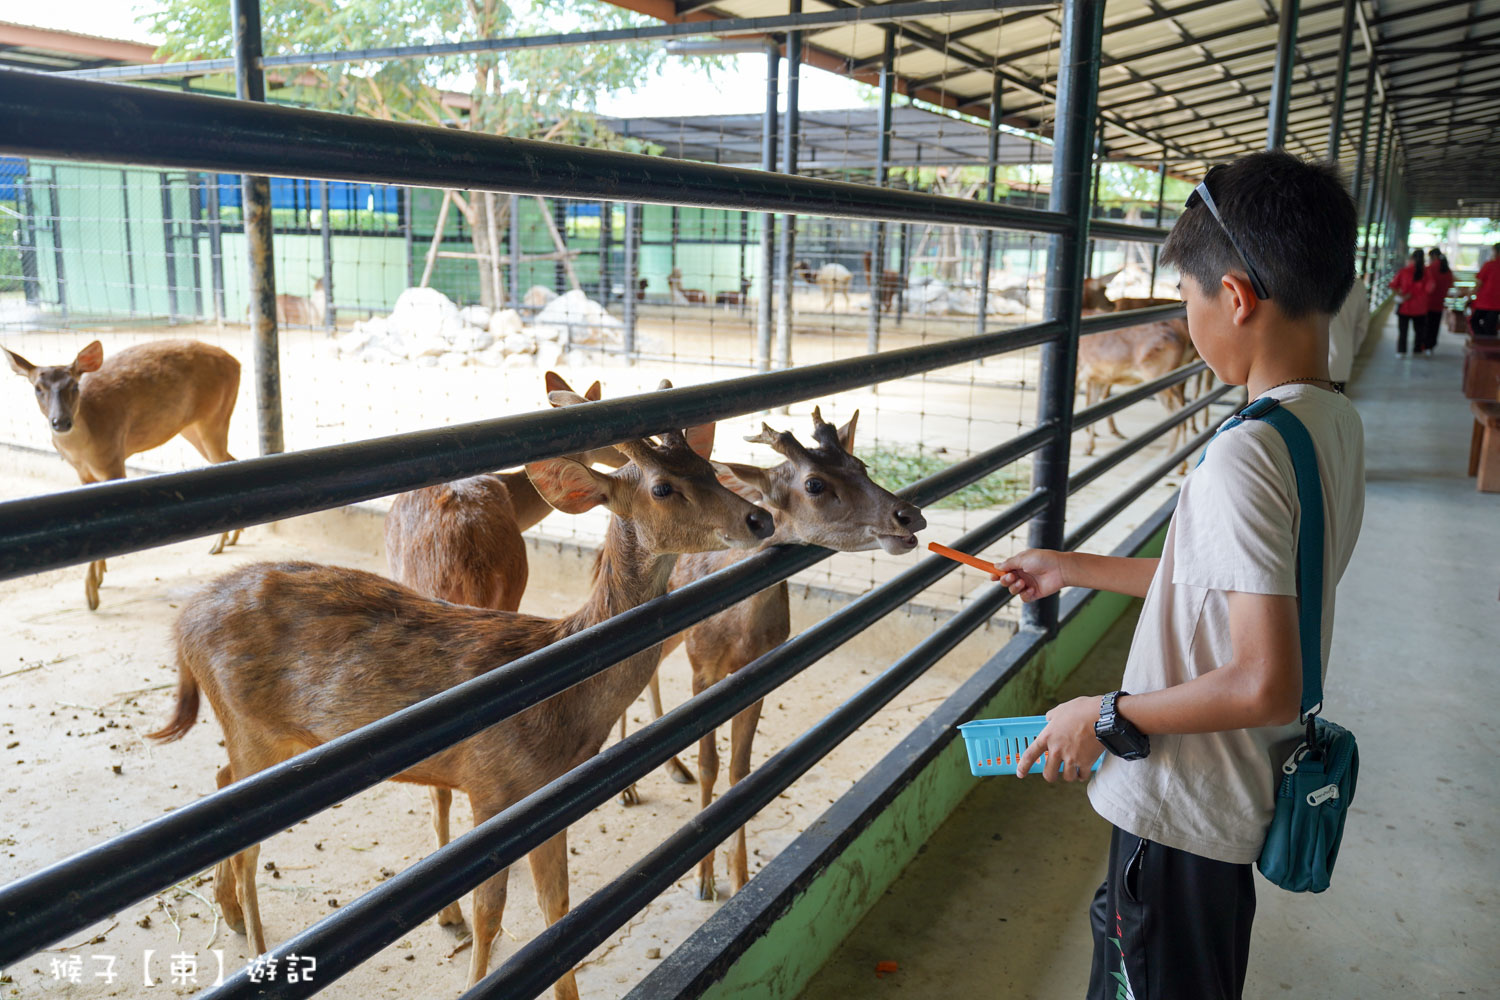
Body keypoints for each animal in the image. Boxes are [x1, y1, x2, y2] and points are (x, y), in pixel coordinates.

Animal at [2, 338, 241, 611]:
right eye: (37, 388)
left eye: (74, 385)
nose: (60, 422)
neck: (84, 446)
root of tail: (236, 363)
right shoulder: (83, 473)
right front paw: (99, 576)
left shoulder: (114, 461)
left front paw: (91, 593)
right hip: (191, 428)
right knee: (232, 460)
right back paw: (229, 540)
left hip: (214, 418)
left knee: (227, 461)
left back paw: (220, 543)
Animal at [149, 389, 774, 1000]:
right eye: (663, 487)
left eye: (708, 467)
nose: (760, 516)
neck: (561, 709)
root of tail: (182, 626)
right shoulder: (492, 787)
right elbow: (490, 914)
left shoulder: (550, 795)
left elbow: (558, 907)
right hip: (251, 725)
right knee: (246, 841)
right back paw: (255, 947)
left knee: (220, 782)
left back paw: (231, 914)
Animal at [612, 407, 918, 899]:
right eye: (815, 484)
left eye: (862, 466)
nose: (910, 516)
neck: (738, 631)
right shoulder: (703, 669)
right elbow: (711, 765)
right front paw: (703, 880)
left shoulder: (757, 673)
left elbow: (740, 771)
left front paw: (739, 876)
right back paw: (629, 790)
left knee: (652, 671)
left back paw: (673, 768)